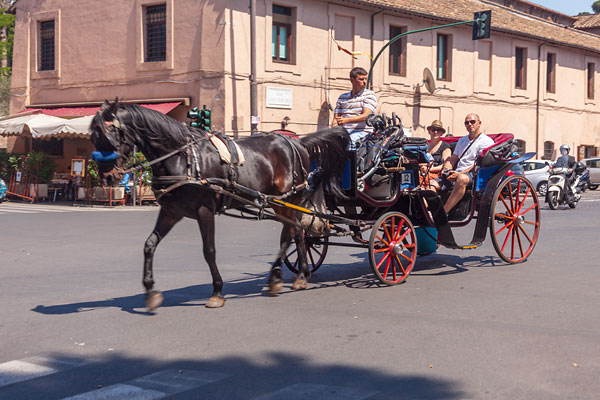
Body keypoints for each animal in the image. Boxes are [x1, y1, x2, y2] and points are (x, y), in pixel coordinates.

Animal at [89, 100, 346, 310]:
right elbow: (149, 245)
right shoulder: (171, 212)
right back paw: (301, 274)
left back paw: (276, 277)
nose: (108, 178)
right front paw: (150, 290)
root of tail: (298, 142)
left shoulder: (205, 211)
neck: (183, 158)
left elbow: (209, 251)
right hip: (283, 201)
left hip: (289, 198)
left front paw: (217, 291)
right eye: (93, 136)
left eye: (109, 134)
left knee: (289, 234)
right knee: (298, 233)